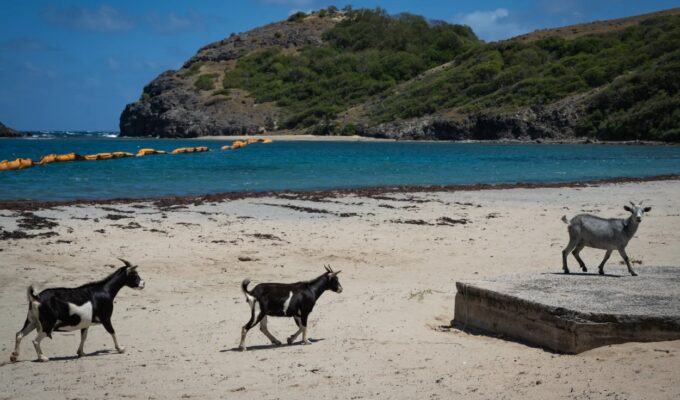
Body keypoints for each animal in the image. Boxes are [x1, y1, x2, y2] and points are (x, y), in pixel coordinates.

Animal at [10, 259, 145, 362]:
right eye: (134, 275)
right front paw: (120, 348)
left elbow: (83, 337)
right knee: (35, 341)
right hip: (48, 324)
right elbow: (112, 332)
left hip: (32, 320)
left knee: (19, 334)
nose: (143, 284)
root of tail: (36, 298)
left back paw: (14, 356)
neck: (105, 290)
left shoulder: (85, 323)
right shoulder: (106, 318)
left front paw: (81, 352)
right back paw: (42, 357)